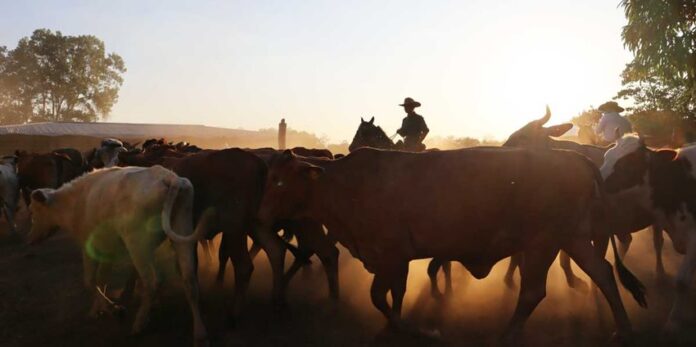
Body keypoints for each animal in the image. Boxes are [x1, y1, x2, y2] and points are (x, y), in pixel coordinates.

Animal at [26, 166, 209, 346]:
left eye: (34, 212)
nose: (30, 239)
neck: (74, 203)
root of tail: (168, 177)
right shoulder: (108, 248)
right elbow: (102, 279)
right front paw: (97, 309)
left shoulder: (89, 248)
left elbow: (90, 281)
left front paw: (114, 309)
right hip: (182, 228)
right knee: (189, 279)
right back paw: (199, 333)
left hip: (137, 244)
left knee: (152, 281)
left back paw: (138, 324)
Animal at [256, 148, 648, 344]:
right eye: (268, 177)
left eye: (279, 181)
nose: (260, 216)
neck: (347, 185)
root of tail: (577, 159)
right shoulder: (393, 260)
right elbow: (391, 296)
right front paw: (399, 326)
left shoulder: (392, 255)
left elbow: (381, 296)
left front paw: (412, 329)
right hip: (573, 238)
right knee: (604, 274)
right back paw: (624, 329)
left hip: (543, 242)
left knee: (533, 292)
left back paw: (507, 335)